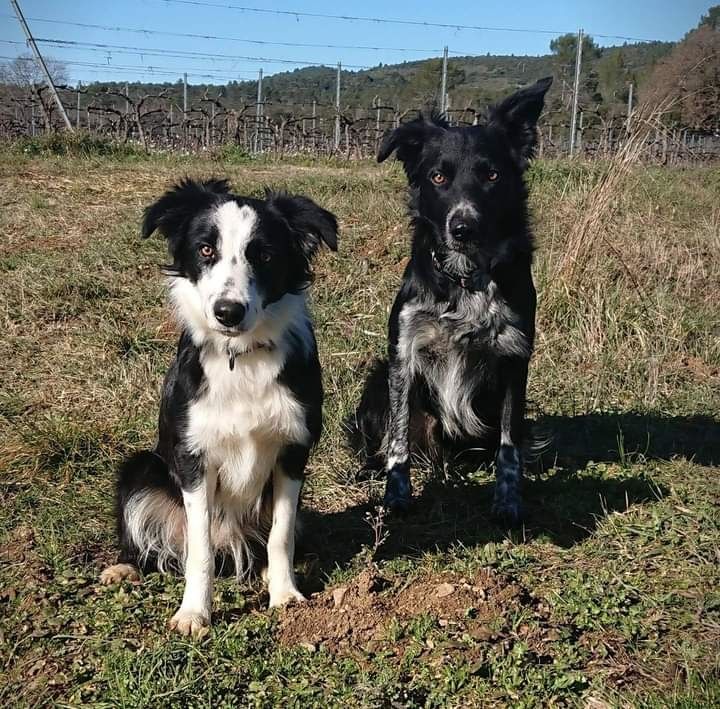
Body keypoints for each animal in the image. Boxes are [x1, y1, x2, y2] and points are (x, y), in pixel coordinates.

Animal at [348, 77, 552, 524]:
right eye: (438, 177)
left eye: (492, 174)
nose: (463, 228)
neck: (466, 278)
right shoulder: (403, 353)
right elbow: (399, 441)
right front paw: (396, 497)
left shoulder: (514, 359)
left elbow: (509, 447)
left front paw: (508, 503)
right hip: (377, 378)